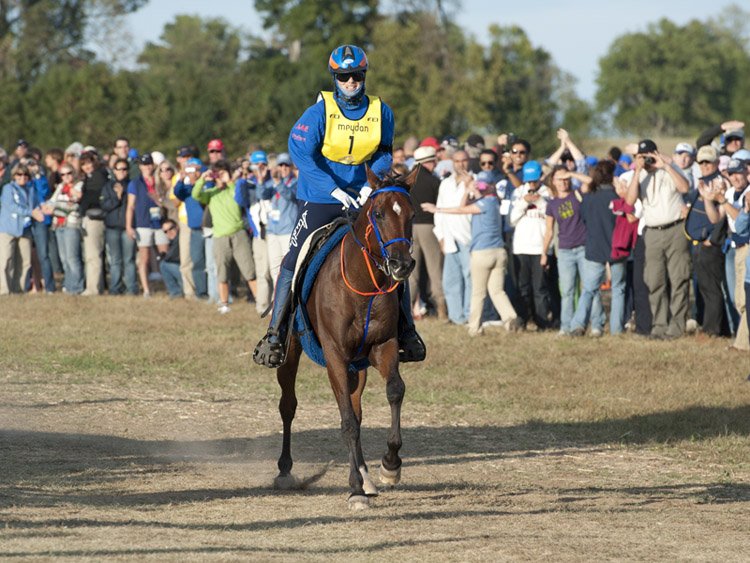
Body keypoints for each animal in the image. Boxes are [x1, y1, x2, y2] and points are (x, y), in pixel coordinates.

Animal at [274, 165, 420, 508]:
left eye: (411, 214)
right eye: (378, 213)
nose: (402, 264)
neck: (362, 283)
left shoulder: (383, 347)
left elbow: (394, 391)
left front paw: (390, 465)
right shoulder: (335, 356)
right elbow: (347, 421)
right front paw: (354, 488)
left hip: (359, 365)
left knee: (357, 406)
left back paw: (367, 475)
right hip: (292, 352)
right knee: (288, 405)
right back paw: (285, 470)